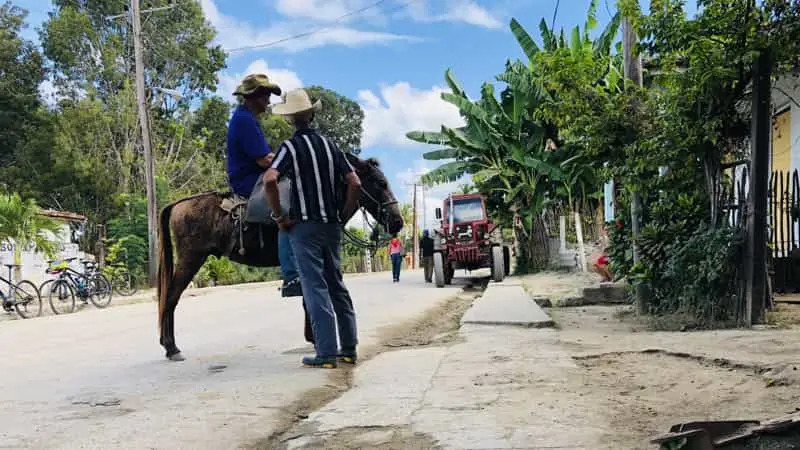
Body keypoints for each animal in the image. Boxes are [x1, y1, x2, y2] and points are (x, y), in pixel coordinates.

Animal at [157, 155, 404, 362]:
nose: (398, 222)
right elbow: (309, 296)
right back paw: (171, 347)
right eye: (380, 183)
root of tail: (179, 204)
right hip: (191, 258)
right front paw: (314, 338)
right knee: (170, 298)